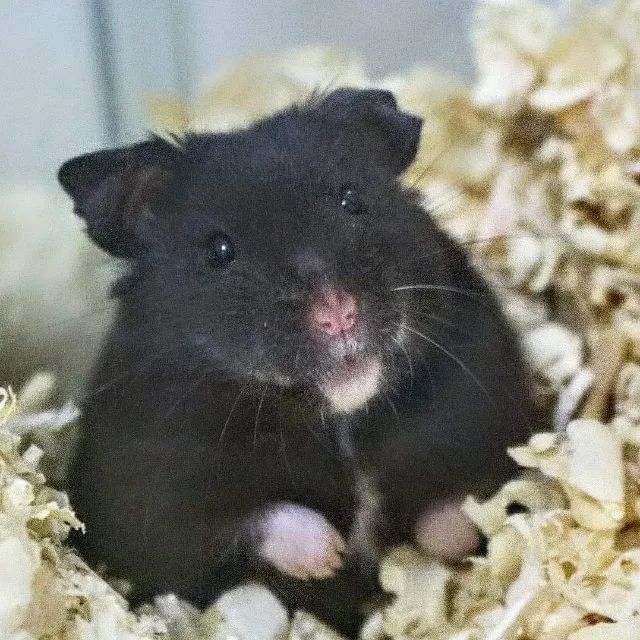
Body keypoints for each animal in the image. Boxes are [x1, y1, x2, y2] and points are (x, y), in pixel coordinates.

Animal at [58, 88, 536, 637]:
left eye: (353, 201)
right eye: (219, 250)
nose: (337, 313)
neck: (340, 415)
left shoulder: (489, 421)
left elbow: (459, 509)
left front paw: (431, 547)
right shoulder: (154, 504)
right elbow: (255, 520)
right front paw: (331, 554)